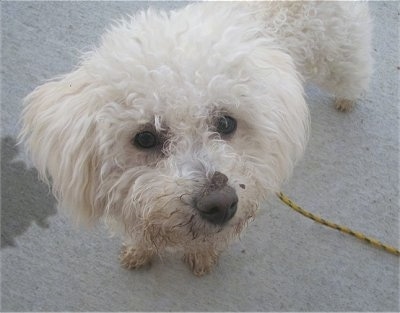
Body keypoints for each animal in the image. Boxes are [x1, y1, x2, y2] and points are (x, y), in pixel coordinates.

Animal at [19, 2, 372, 276]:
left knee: (355, 71)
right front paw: (139, 251)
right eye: (145, 138)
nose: (220, 204)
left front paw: (202, 257)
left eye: (226, 123)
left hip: (339, 53)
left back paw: (347, 98)